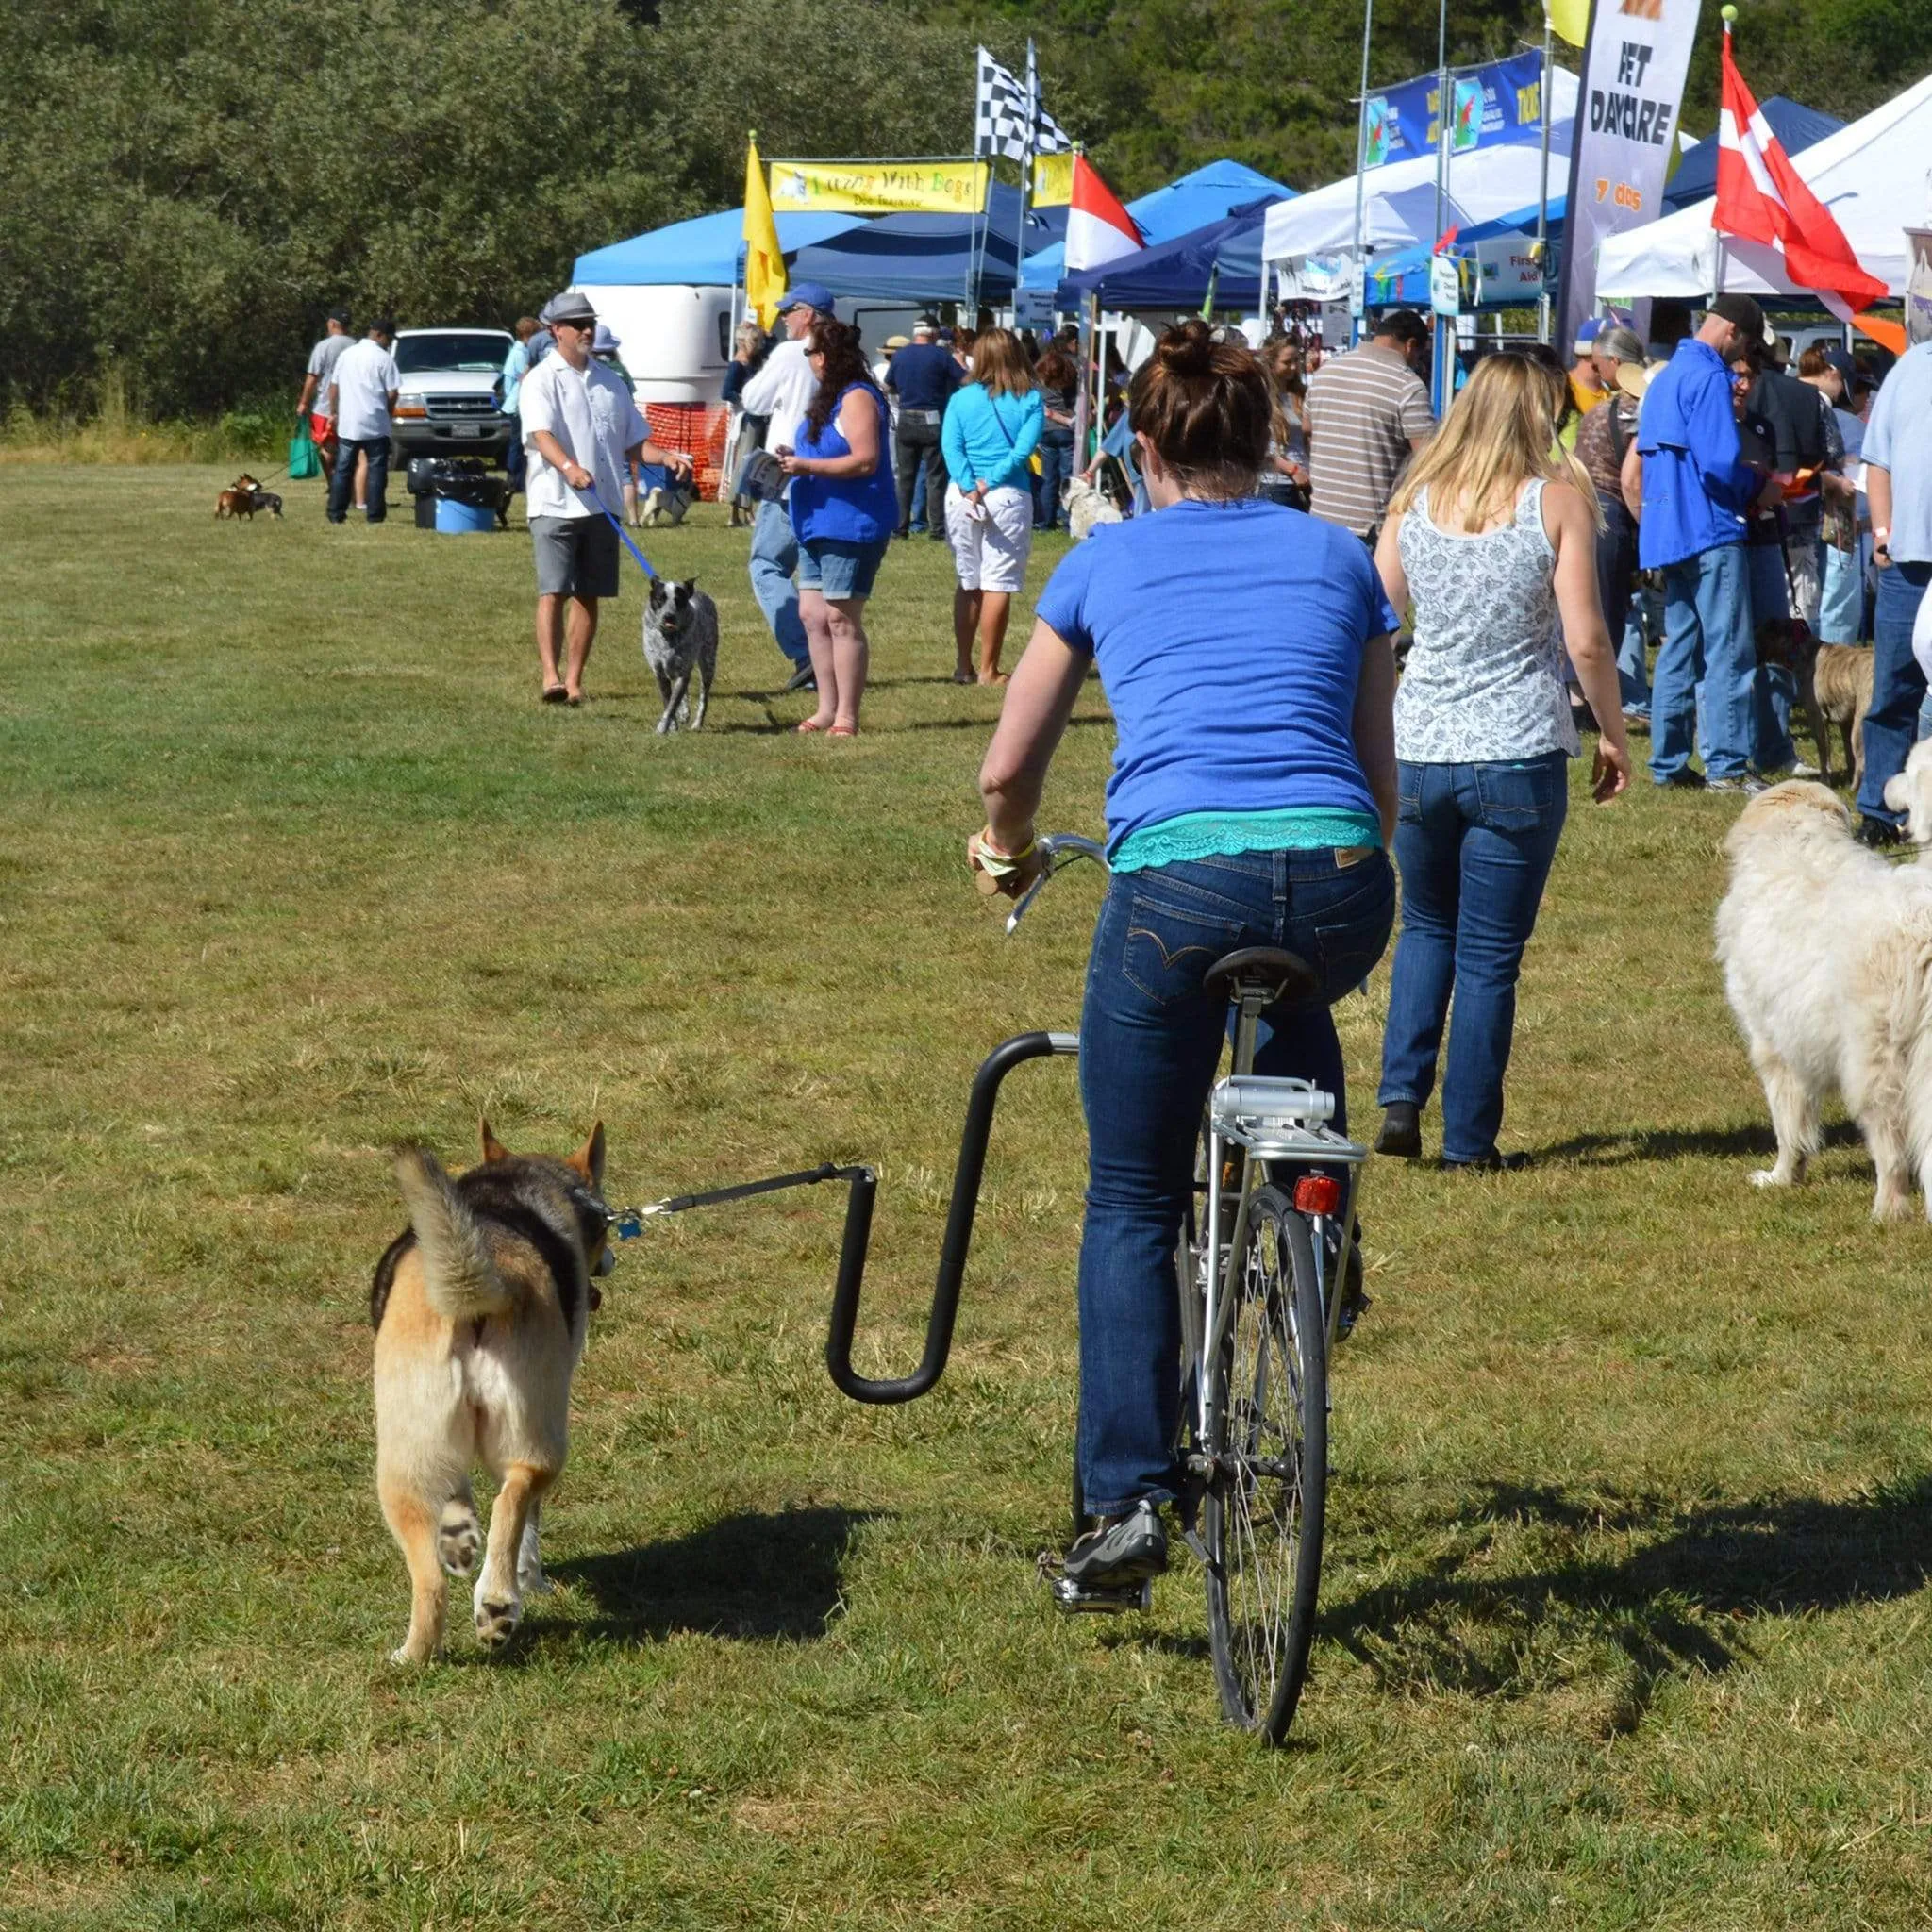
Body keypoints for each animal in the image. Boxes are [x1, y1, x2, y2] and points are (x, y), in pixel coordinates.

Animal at [369, 1128, 610, 1669]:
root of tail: (482, 1279)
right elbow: (527, 1524)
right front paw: (531, 1579)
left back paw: (420, 1650)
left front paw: (459, 1536)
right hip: (538, 1438)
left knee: (431, 1579)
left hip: (405, 1463)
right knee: (517, 1496)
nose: (607, 1264)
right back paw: (499, 1603)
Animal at [1715, 776, 1932, 1213]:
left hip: (1875, 1062)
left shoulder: (1774, 1045)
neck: (1797, 845)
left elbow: (1788, 1125)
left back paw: (1888, 1210)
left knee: (1891, 1145)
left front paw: (1781, 1177)